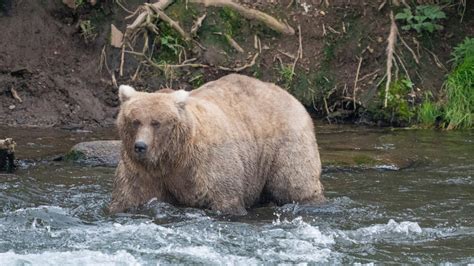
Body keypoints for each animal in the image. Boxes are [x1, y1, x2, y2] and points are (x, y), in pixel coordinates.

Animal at [109, 74, 324, 215]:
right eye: (135, 121)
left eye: (156, 122)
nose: (140, 146)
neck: (173, 157)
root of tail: (291, 96)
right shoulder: (142, 171)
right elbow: (129, 197)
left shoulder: (207, 164)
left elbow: (225, 198)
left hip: (285, 143)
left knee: (294, 183)